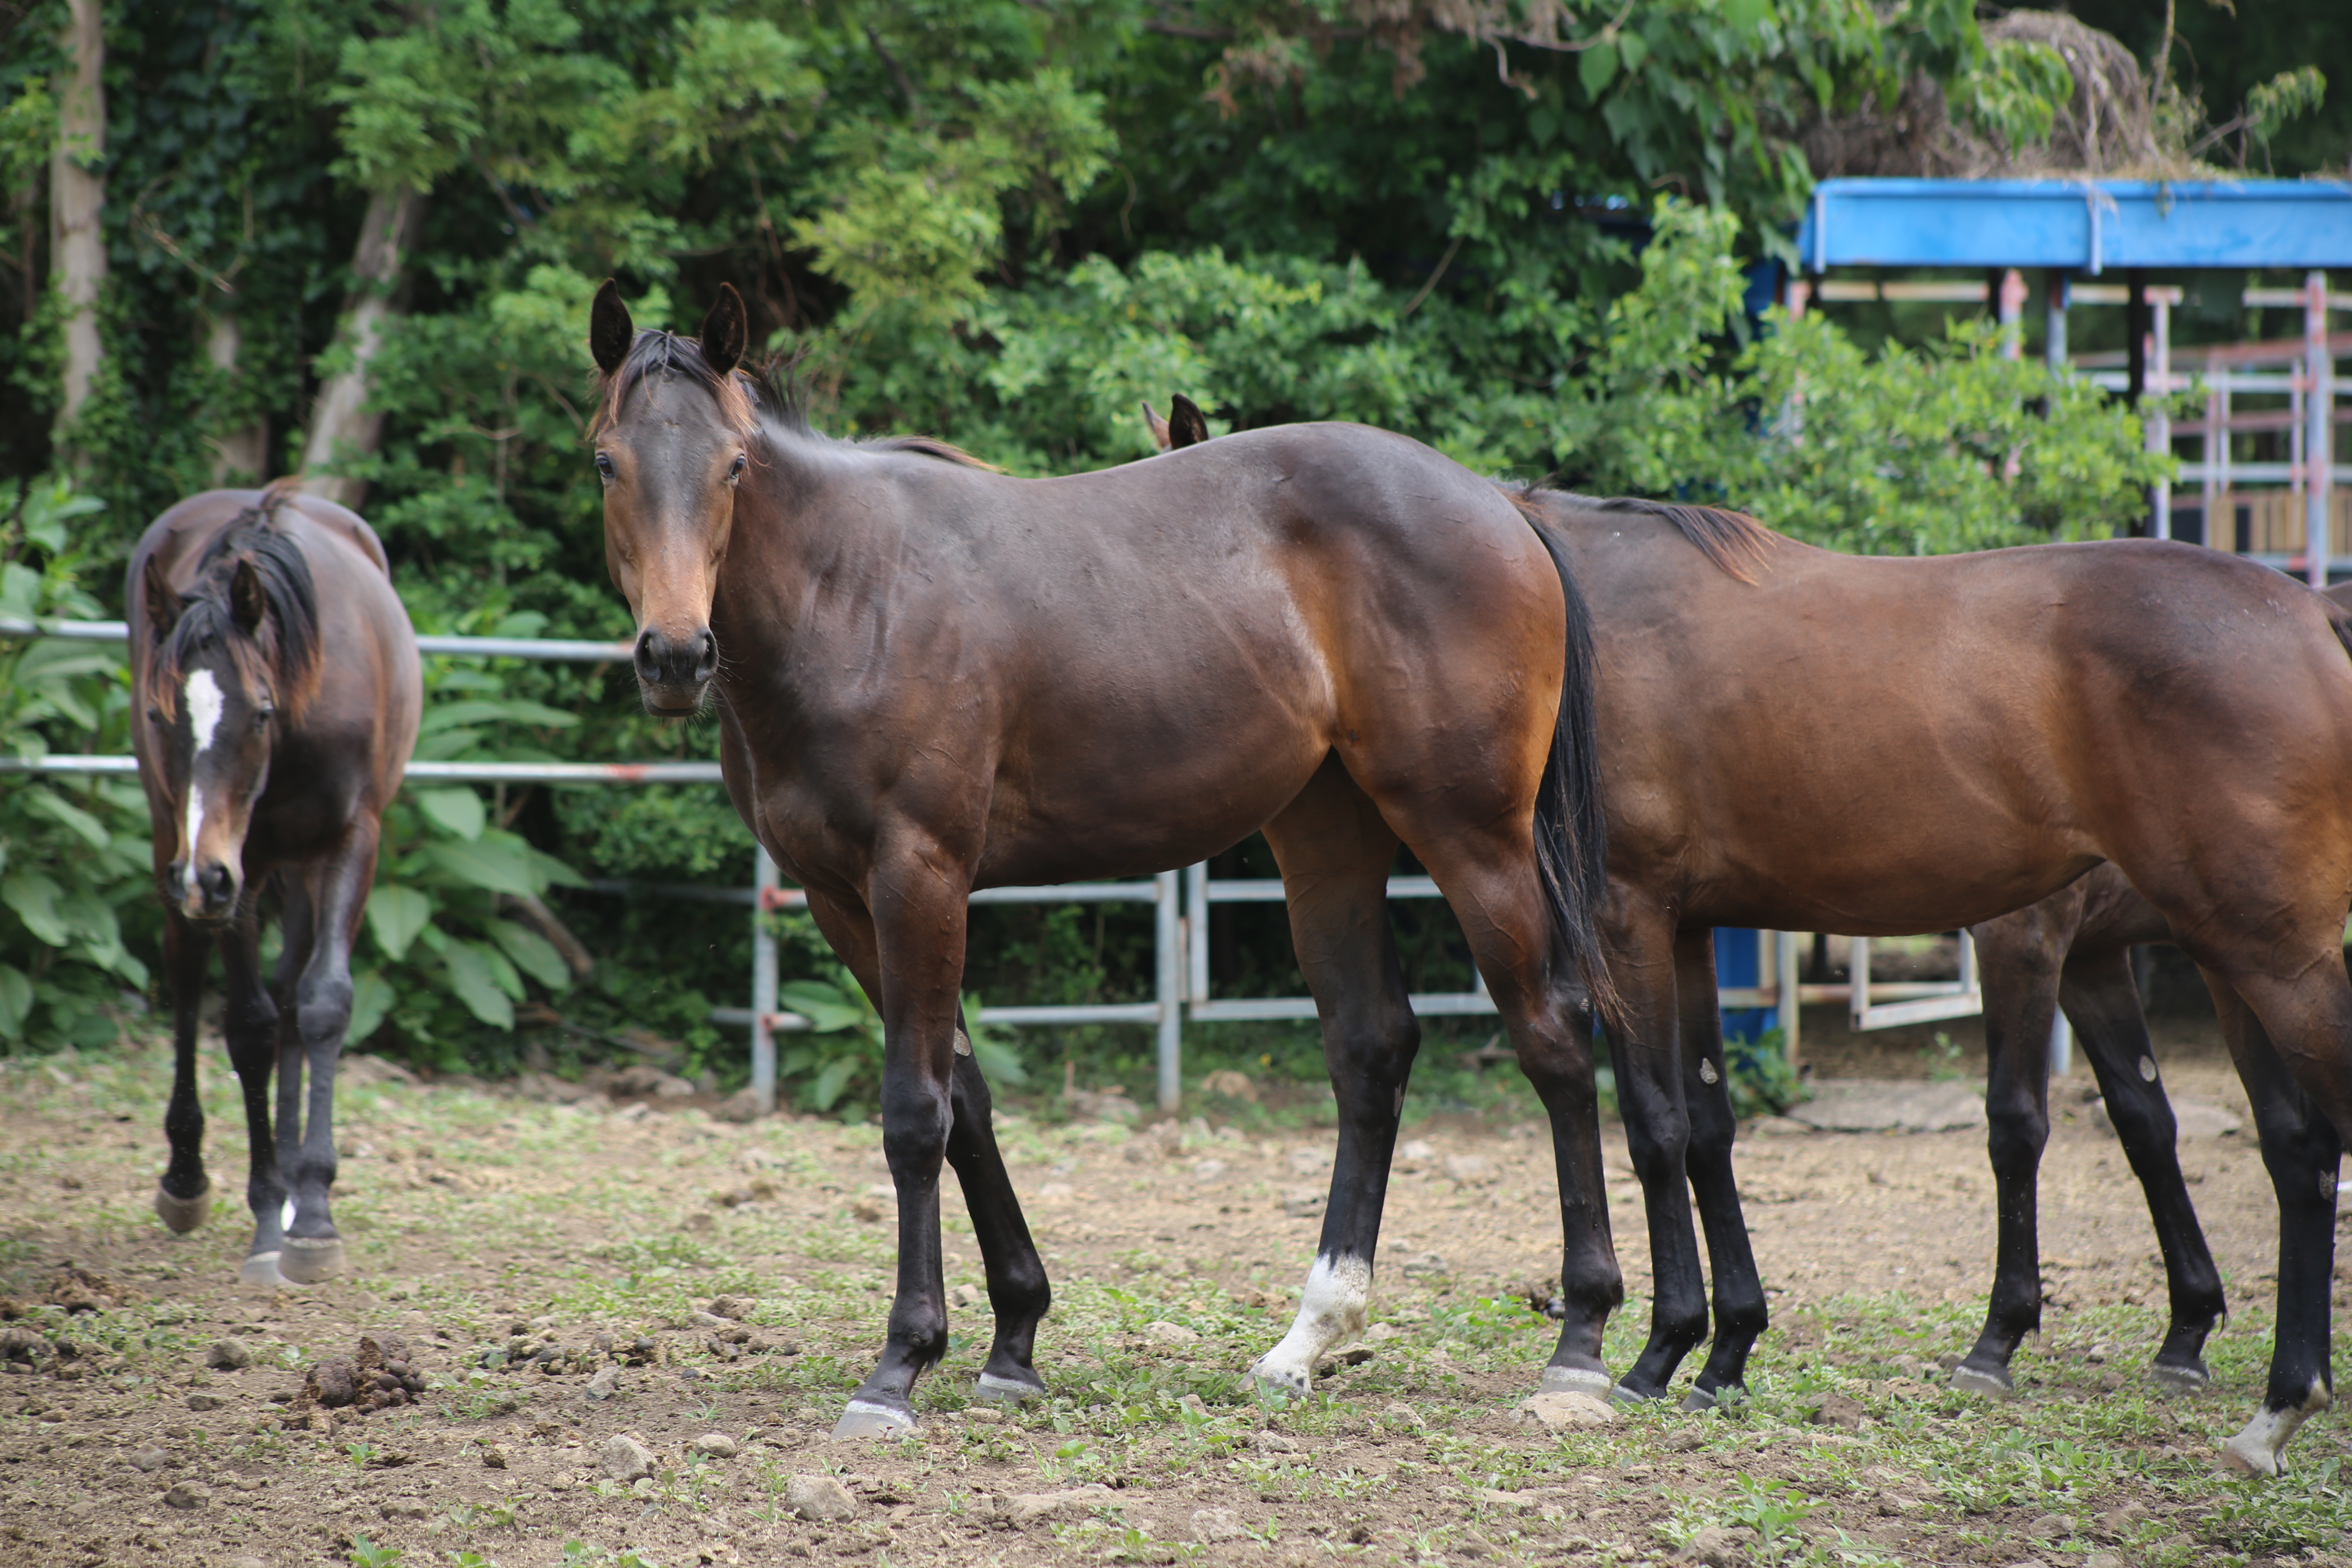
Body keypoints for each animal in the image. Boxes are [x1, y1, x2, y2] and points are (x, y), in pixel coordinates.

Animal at [126, 482, 419, 1288]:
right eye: (161, 712)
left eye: (259, 711)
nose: (202, 876)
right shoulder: (240, 867)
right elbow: (251, 1027)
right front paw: (266, 1216)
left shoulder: (351, 843)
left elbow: (322, 1005)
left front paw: (311, 1211)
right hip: (180, 842)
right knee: (187, 973)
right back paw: (188, 1180)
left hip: (296, 867)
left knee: (293, 991)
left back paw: (292, 1185)